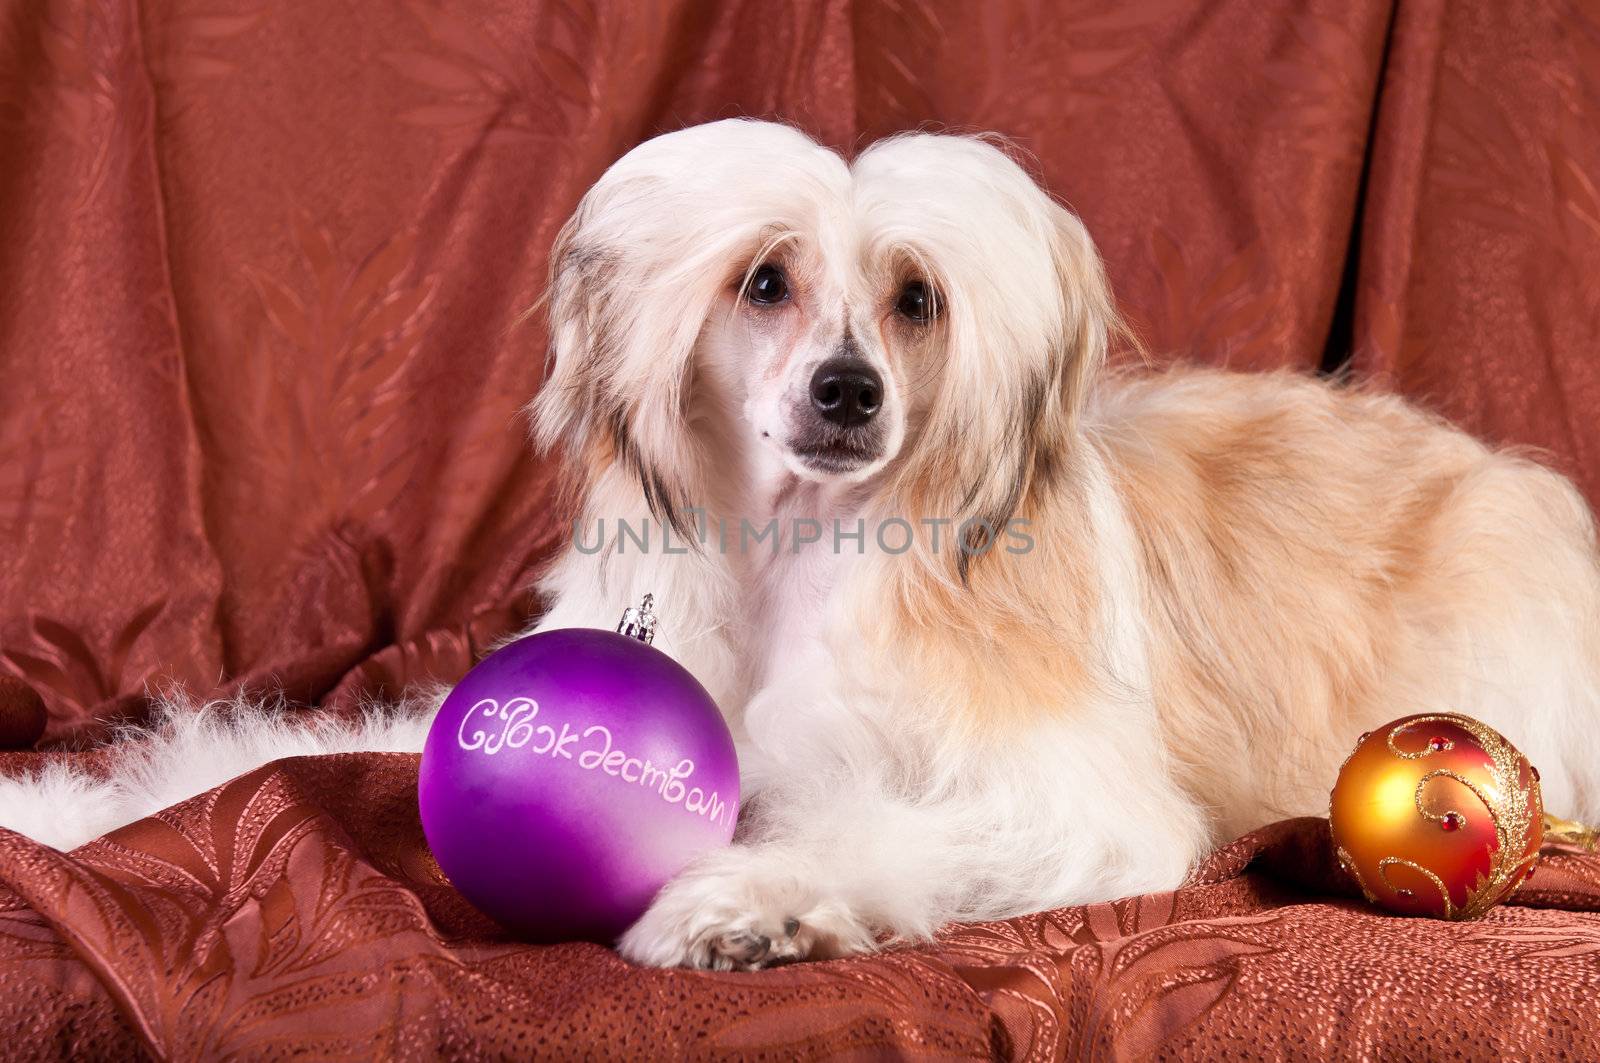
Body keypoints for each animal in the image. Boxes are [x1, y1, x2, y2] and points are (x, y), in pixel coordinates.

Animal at [3, 120, 1600, 973]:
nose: (848, 391)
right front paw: (67, 817)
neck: (787, 559)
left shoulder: (1067, 802)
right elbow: (289, 755)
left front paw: (742, 904)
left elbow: (882, 832)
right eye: (764, 281)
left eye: (916, 299)